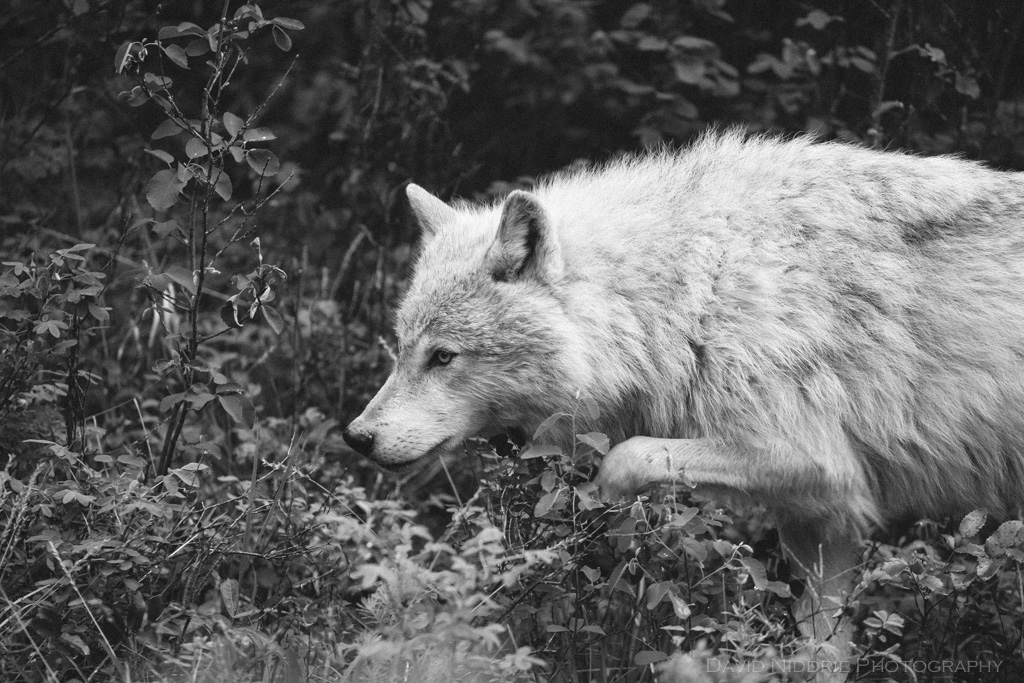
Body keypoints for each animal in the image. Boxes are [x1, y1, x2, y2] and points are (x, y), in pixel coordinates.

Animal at [344, 131, 1024, 658]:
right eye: (402, 347)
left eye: (443, 357)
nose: (357, 437)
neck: (693, 289)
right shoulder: (824, 517)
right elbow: (819, 647)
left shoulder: (820, 463)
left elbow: (628, 458)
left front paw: (605, 516)